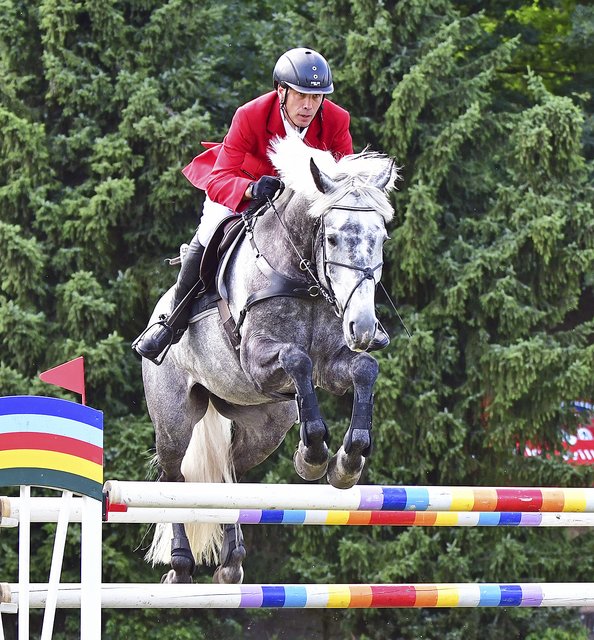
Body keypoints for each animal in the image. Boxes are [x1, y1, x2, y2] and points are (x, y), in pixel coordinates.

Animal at [142, 136, 398, 584]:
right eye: (332, 238)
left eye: (381, 237)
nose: (364, 327)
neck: (302, 277)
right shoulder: (258, 360)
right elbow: (297, 360)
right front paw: (313, 455)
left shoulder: (333, 364)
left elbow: (364, 368)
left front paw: (347, 461)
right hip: (174, 420)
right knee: (173, 477)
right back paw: (181, 566)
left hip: (264, 426)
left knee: (228, 472)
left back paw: (231, 563)